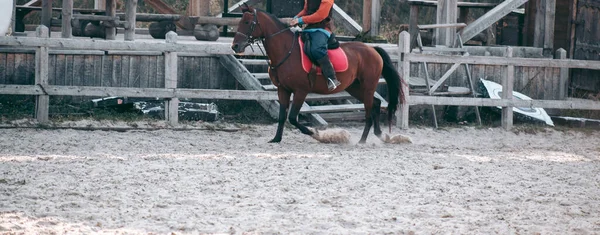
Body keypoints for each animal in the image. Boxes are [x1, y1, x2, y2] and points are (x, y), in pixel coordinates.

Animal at [232, 4, 406, 143]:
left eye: (247, 22)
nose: (235, 46)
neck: (287, 50)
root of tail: (372, 49)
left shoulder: (300, 91)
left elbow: (293, 118)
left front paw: (314, 133)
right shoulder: (283, 89)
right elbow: (282, 116)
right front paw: (276, 139)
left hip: (368, 86)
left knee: (369, 111)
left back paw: (362, 141)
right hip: (355, 87)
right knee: (376, 104)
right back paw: (380, 135)